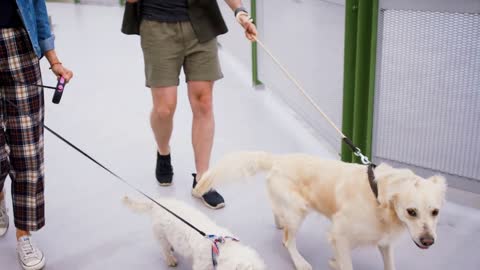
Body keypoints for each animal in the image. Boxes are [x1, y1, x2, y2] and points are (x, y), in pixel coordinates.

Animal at [123, 196, 266, 270]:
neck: (219, 248)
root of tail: (158, 203)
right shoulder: (202, 265)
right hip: (161, 234)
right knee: (164, 249)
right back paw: (170, 259)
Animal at [191, 152, 446, 270]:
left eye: (435, 212)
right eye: (411, 211)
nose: (428, 241)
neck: (378, 198)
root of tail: (279, 159)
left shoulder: (384, 242)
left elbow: (389, 265)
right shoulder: (340, 235)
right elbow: (346, 263)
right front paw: (335, 262)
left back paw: (279, 222)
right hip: (298, 210)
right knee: (288, 241)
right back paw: (300, 261)